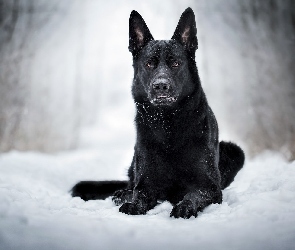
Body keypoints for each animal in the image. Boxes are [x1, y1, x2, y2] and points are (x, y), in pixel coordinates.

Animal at [72, 7, 245, 219]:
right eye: (149, 64)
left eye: (175, 64)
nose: (161, 85)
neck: (168, 124)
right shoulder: (146, 183)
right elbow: (140, 194)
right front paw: (133, 204)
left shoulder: (210, 187)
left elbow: (194, 194)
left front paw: (184, 206)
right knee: (130, 185)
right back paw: (122, 194)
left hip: (234, 150)